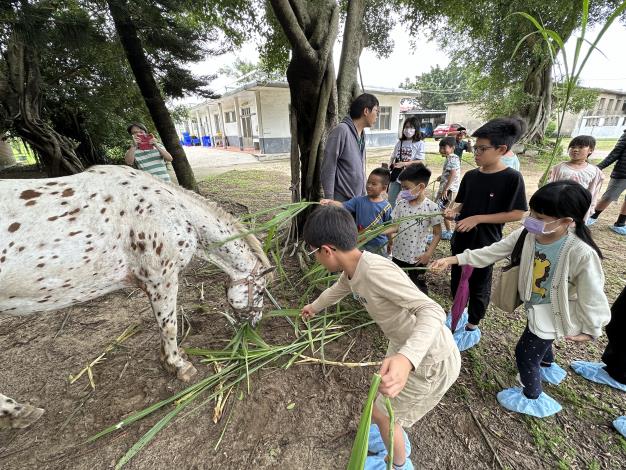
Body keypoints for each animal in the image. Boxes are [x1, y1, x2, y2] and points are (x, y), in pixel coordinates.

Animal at [0, 165, 272, 430]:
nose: (255, 324)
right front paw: (178, 365)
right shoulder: (161, 279)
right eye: (259, 292)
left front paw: (171, 359)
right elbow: (169, 326)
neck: (172, 209)